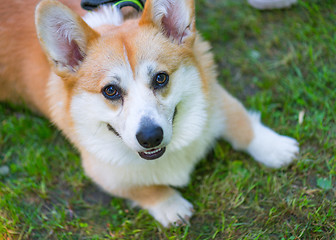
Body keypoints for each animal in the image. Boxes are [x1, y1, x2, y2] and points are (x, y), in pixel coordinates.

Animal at [0, 0, 300, 227]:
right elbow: (144, 188)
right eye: (110, 91)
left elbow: (241, 122)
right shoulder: (103, 171)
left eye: (160, 78)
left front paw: (276, 148)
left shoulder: (214, 98)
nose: (150, 137)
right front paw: (172, 206)